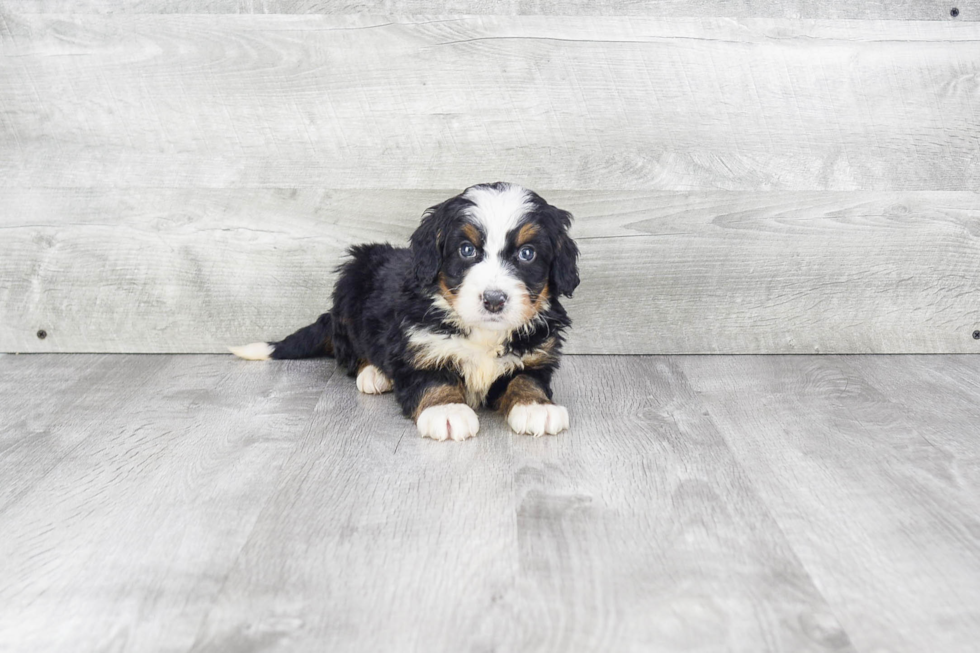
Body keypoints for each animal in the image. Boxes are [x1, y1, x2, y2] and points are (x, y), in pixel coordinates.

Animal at [231, 181, 580, 440]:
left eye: (527, 253)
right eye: (466, 250)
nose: (494, 300)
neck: (483, 333)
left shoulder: (537, 353)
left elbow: (527, 378)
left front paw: (536, 407)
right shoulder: (417, 346)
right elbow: (433, 379)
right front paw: (447, 411)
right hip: (350, 285)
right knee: (352, 353)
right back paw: (373, 373)